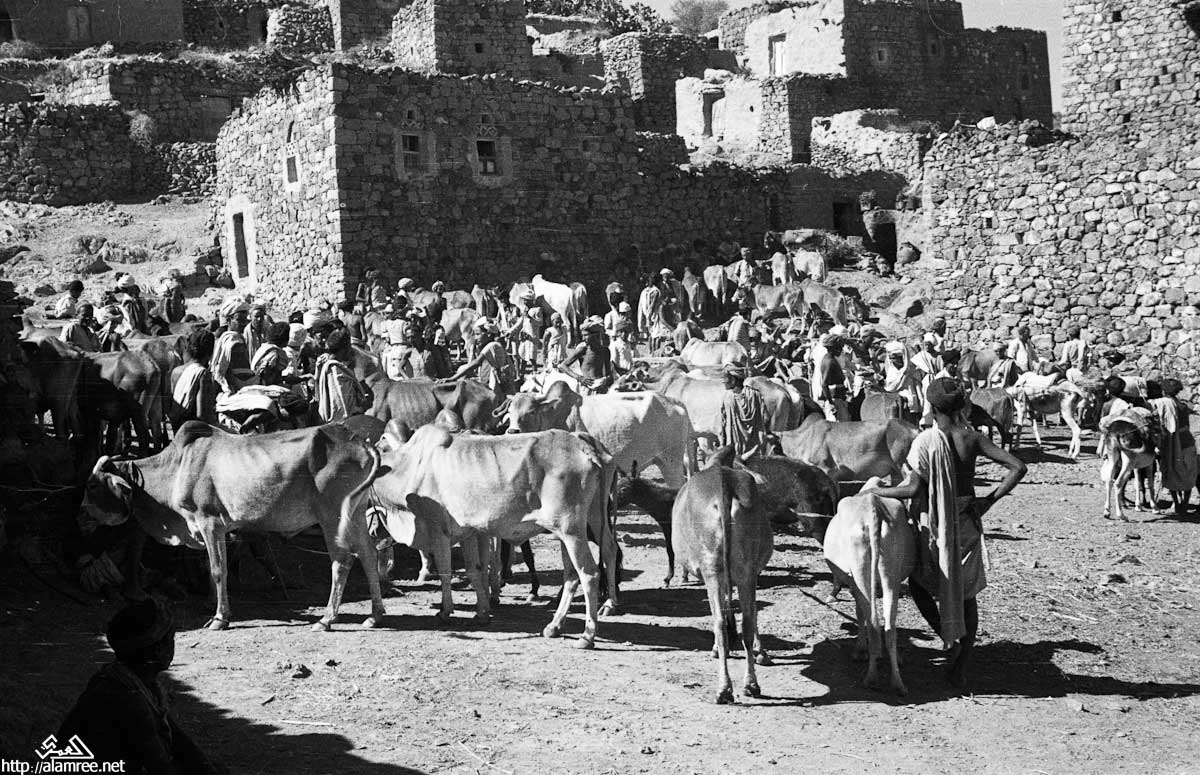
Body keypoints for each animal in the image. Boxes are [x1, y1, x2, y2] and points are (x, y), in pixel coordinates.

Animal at [81, 422, 386, 631]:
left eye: (93, 485)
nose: (80, 515)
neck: (176, 467)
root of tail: (360, 442)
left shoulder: (210, 523)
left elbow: (218, 571)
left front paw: (219, 618)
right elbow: (212, 570)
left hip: (332, 516)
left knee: (342, 561)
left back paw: (326, 619)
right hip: (357, 512)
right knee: (369, 555)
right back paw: (375, 614)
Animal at [372, 426, 618, 647]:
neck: (412, 466)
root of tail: (581, 443)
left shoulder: (439, 529)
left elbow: (444, 571)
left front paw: (444, 611)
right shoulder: (467, 532)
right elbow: (474, 570)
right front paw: (481, 613)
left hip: (571, 529)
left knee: (589, 573)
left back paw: (587, 635)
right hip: (587, 522)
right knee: (587, 565)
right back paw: (556, 625)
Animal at [672, 465, 773, 704]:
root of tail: (722, 484)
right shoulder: (750, 573)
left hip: (712, 569)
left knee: (718, 622)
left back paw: (724, 688)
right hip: (745, 569)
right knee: (747, 621)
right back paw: (751, 684)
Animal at [823, 481, 915, 695]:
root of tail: (872, 507)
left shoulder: (852, 582)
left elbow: (859, 613)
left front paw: (860, 650)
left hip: (859, 571)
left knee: (873, 623)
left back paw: (871, 678)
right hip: (892, 573)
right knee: (890, 627)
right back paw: (897, 682)